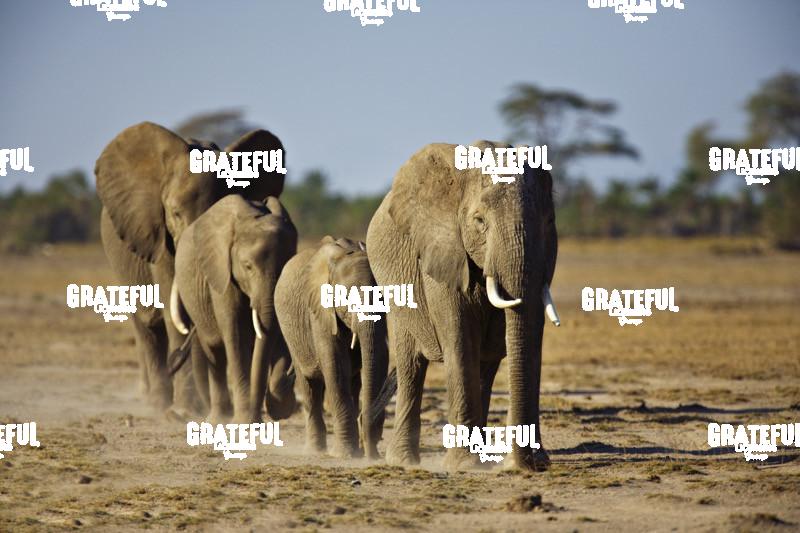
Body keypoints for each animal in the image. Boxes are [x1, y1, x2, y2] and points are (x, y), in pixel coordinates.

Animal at [95, 121, 287, 414]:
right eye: (175, 213)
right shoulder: (160, 237)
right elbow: (173, 309)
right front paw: (187, 410)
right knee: (147, 327)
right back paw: (157, 404)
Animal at [170, 195, 298, 423]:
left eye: (286, 266)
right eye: (247, 266)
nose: (256, 420)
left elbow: (277, 335)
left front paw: (279, 406)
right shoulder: (222, 273)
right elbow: (235, 334)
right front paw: (243, 422)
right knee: (216, 354)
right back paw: (218, 419)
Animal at [274, 237, 389, 459]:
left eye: (383, 297)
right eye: (349, 300)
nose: (374, 456)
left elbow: (380, 356)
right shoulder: (319, 311)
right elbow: (336, 365)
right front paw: (345, 455)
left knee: (354, 384)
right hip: (291, 334)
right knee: (309, 384)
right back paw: (314, 451)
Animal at [365, 141, 560, 472]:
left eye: (549, 223)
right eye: (480, 222)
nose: (527, 465)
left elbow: (508, 343)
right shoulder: (442, 253)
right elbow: (460, 339)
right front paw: (464, 465)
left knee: (486, 364)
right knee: (410, 365)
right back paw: (403, 460)